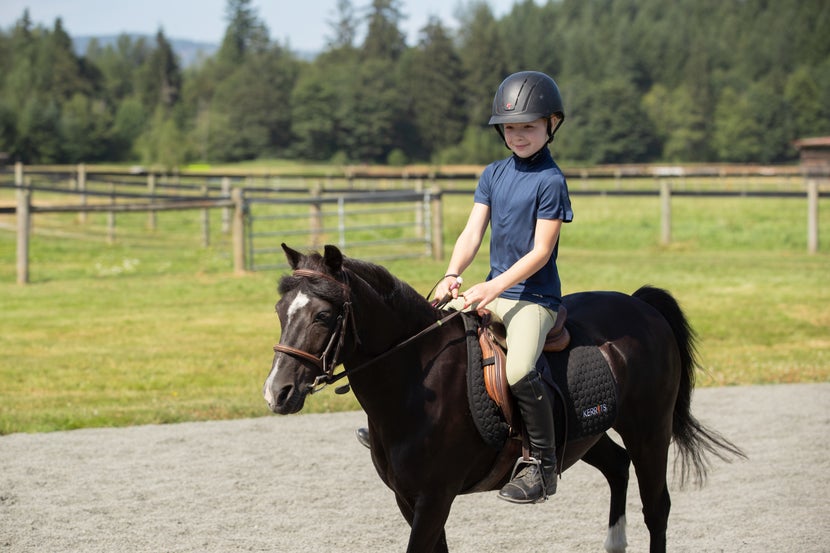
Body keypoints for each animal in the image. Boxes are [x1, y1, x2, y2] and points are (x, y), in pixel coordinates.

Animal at [264, 245, 744, 552]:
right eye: (280, 311)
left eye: (324, 316)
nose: (276, 393)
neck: (416, 379)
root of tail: (639, 303)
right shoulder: (410, 498)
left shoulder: (435, 497)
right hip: (580, 434)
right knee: (615, 466)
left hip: (650, 430)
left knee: (656, 507)